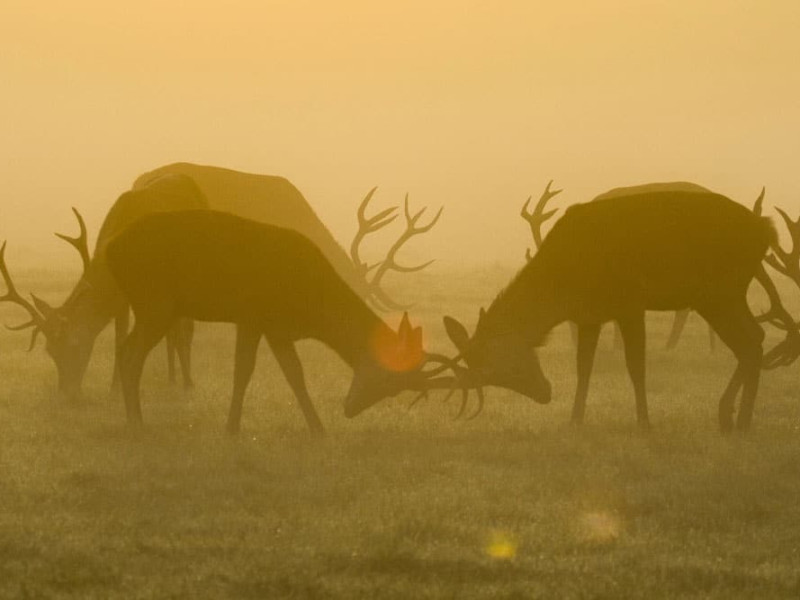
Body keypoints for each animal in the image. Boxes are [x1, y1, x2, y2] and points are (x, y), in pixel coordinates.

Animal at [1, 174, 207, 401]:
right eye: (49, 350)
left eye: (75, 343)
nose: (68, 393)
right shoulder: (121, 298)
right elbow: (120, 340)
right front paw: (115, 388)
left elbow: (176, 333)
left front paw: (188, 385)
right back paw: (171, 379)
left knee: (184, 329)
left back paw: (184, 380)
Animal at [104, 209, 451, 433]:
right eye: (387, 378)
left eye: (395, 390)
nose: (349, 409)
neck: (309, 305)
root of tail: (110, 249)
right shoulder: (252, 313)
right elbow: (244, 370)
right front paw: (232, 427)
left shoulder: (277, 327)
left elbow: (294, 373)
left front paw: (317, 428)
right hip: (155, 302)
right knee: (132, 354)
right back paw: (137, 422)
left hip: (151, 306)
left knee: (123, 348)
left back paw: (130, 417)